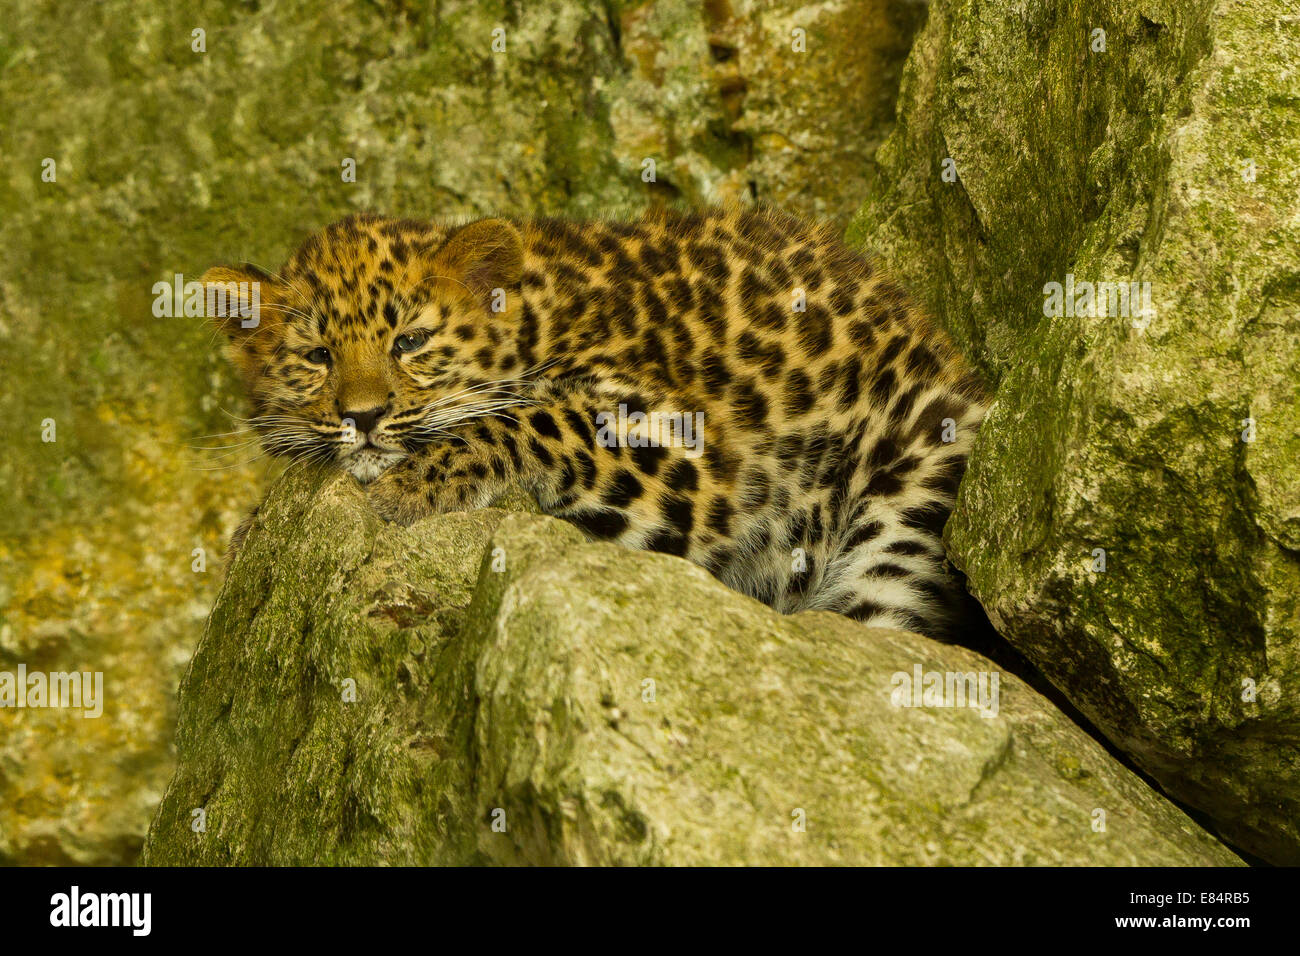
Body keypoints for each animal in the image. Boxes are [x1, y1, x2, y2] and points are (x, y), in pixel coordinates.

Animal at [203, 204, 987, 640]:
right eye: (317, 356)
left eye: (410, 342)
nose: (362, 416)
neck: (537, 314)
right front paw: (250, 533)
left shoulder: (700, 461)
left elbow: (542, 417)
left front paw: (419, 482)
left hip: (908, 502)